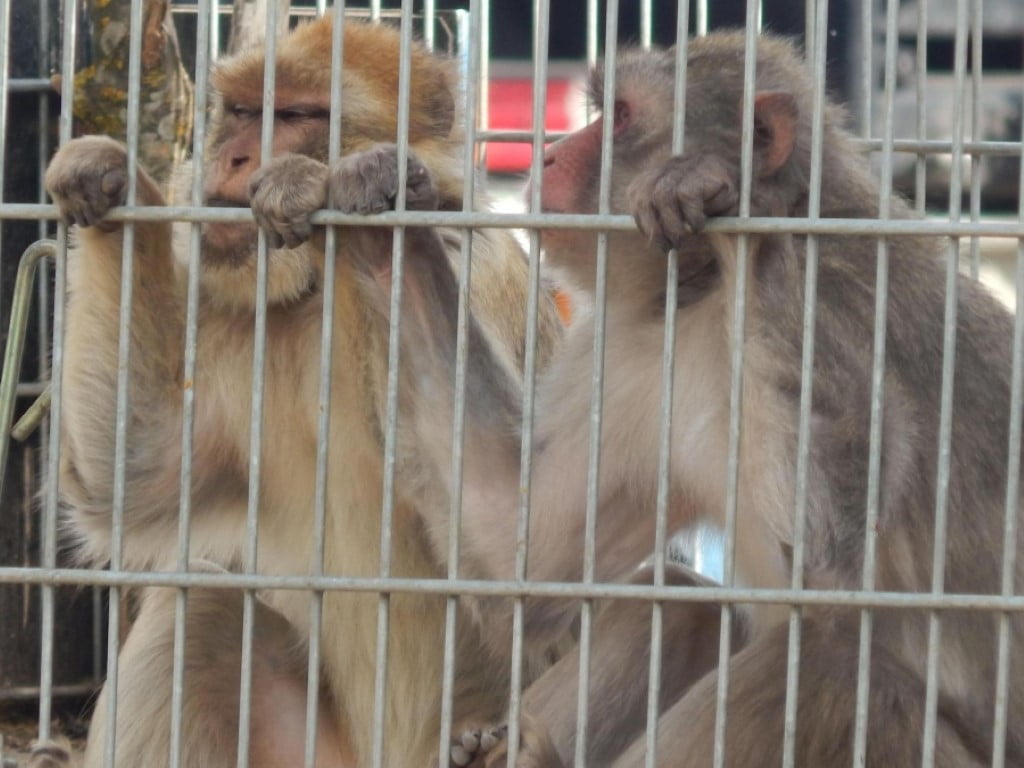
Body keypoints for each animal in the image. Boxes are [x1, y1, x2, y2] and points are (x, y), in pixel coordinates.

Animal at [37, 15, 562, 768]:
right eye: (241, 111)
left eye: (295, 116)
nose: (233, 158)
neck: (315, 290)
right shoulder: (232, 317)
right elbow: (136, 477)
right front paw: (113, 182)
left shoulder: (479, 272)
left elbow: (522, 550)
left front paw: (363, 193)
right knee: (198, 613)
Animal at [338, 32, 1024, 767]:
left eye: (621, 116)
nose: (549, 154)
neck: (711, 293)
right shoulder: (637, 356)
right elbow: (517, 545)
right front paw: (387, 214)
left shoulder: (844, 301)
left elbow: (832, 558)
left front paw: (729, 198)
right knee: (685, 606)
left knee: (834, 667)